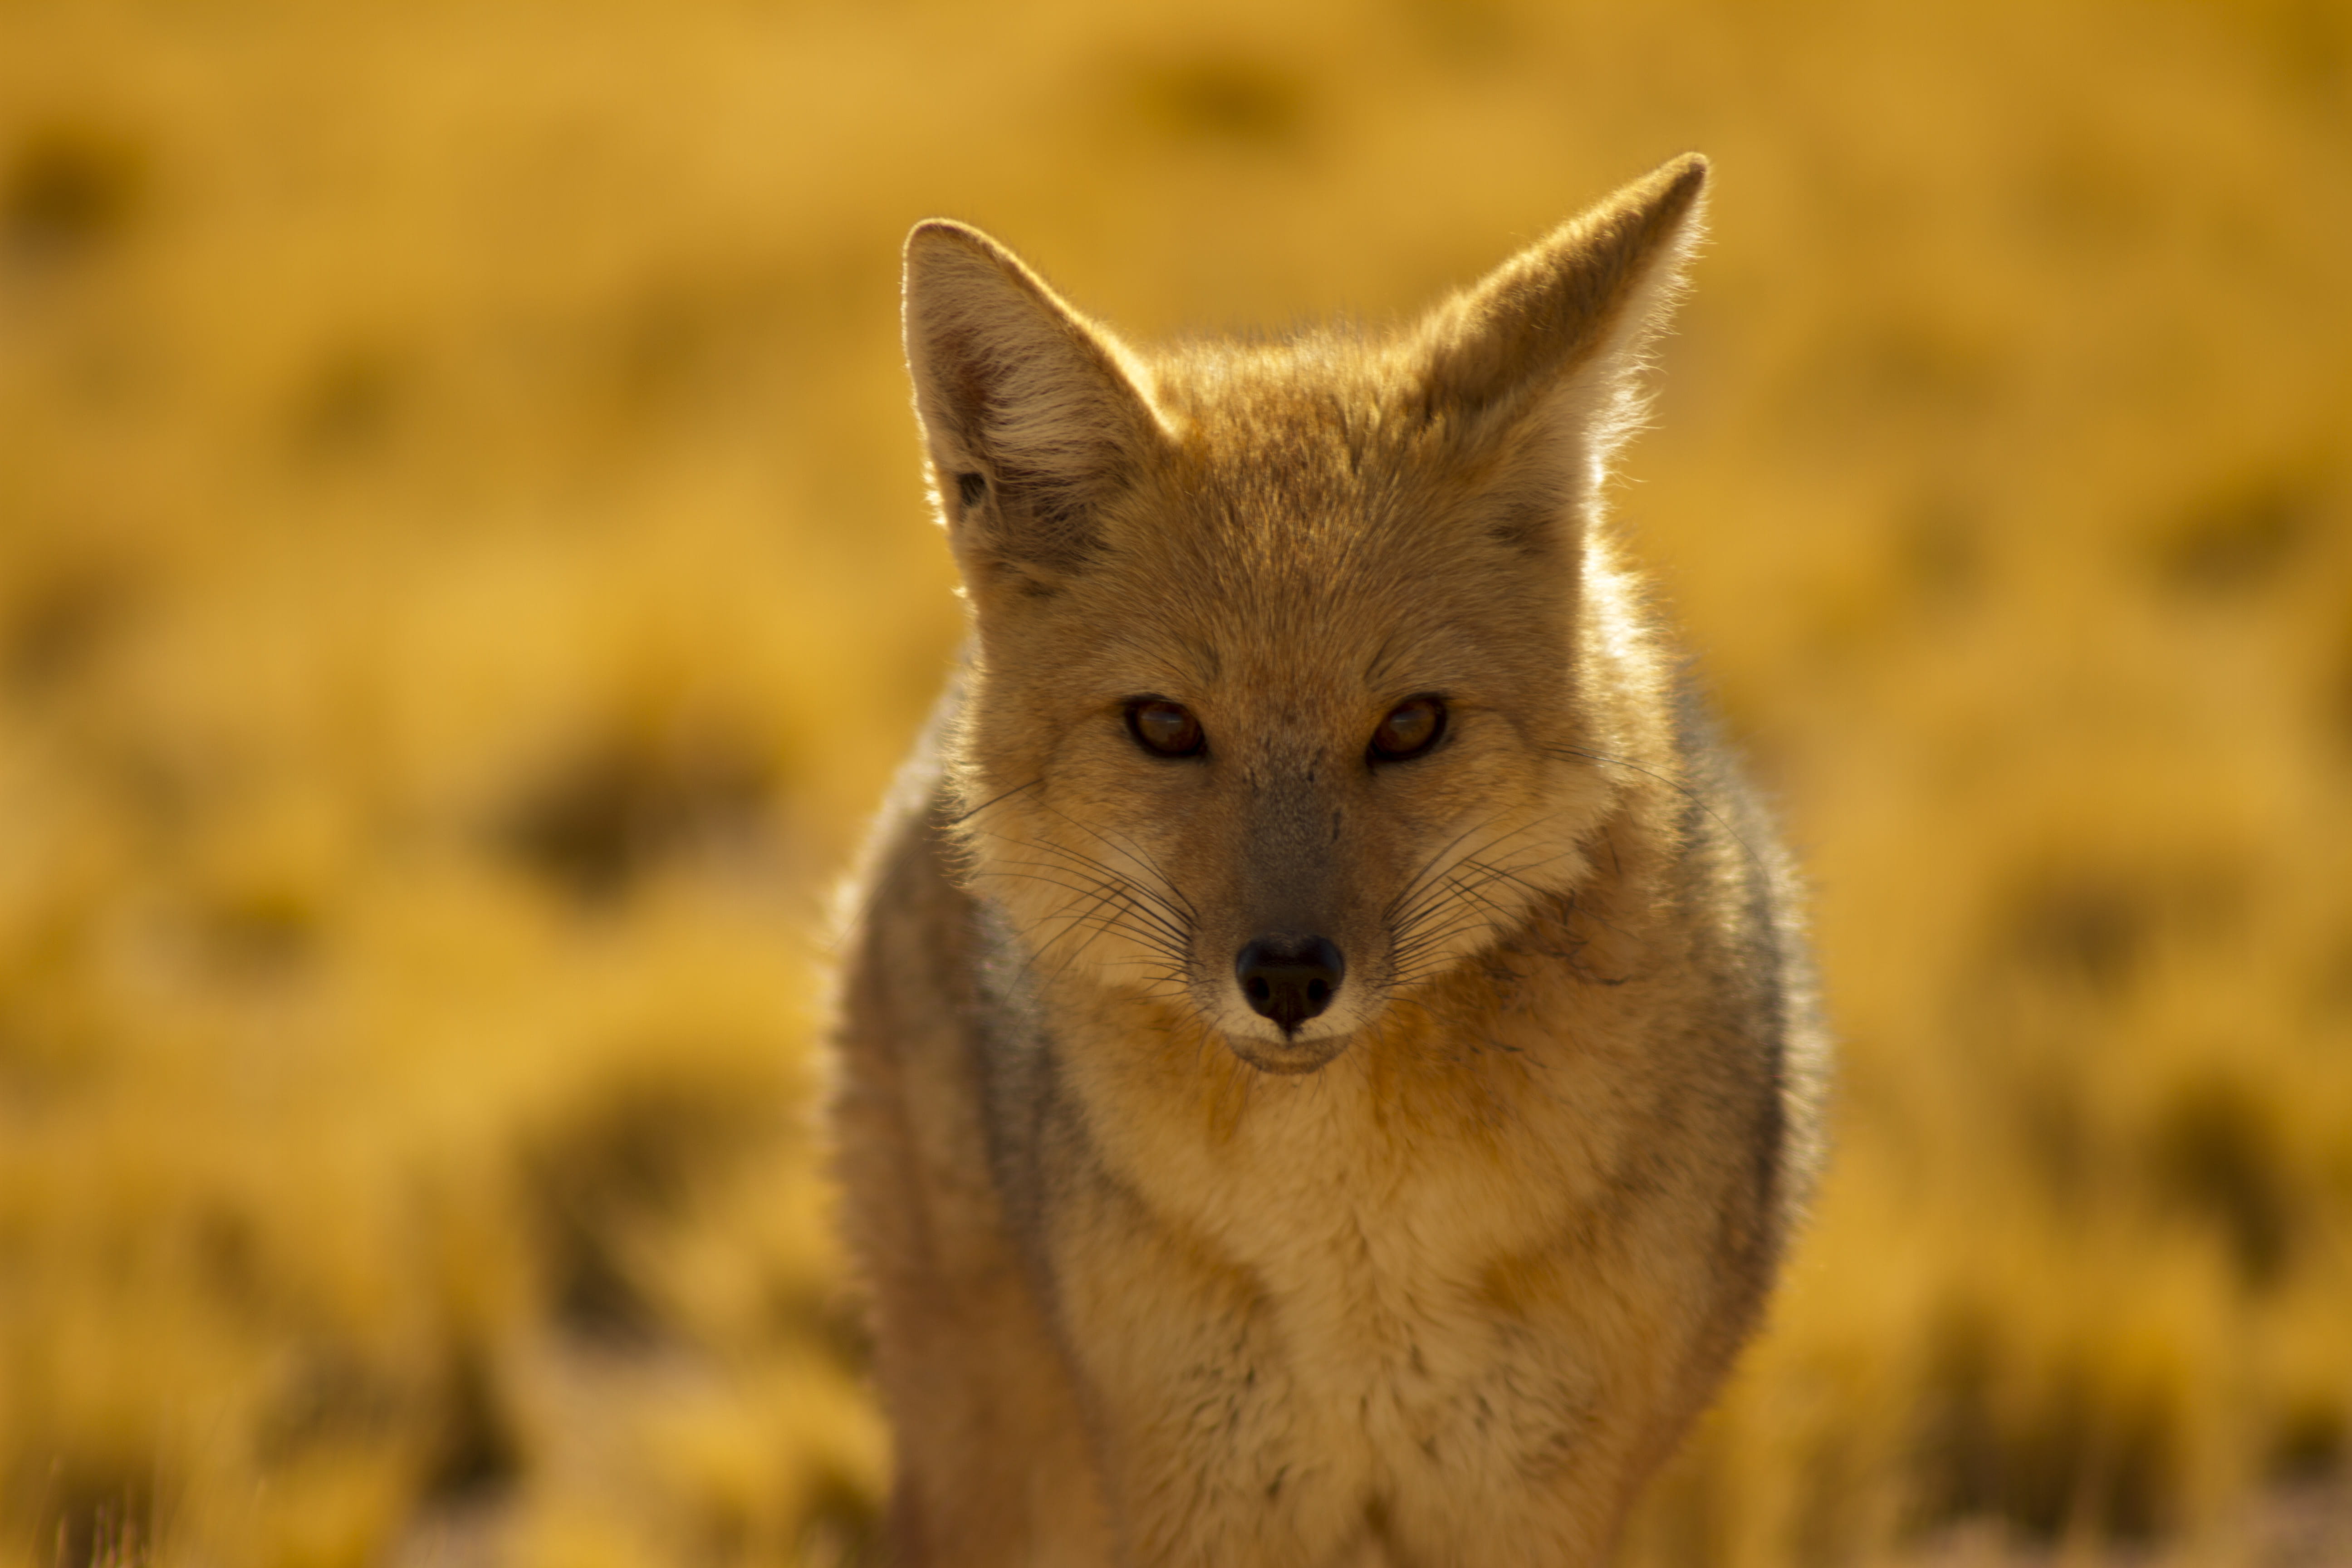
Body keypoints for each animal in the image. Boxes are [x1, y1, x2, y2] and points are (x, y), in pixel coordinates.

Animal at [828, 153, 1829, 1568]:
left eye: (1409, 726)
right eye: (1164, 727)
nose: (1291, 979)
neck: (1356, 1260)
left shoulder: (1530, 1510)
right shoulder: (1198, 1500)